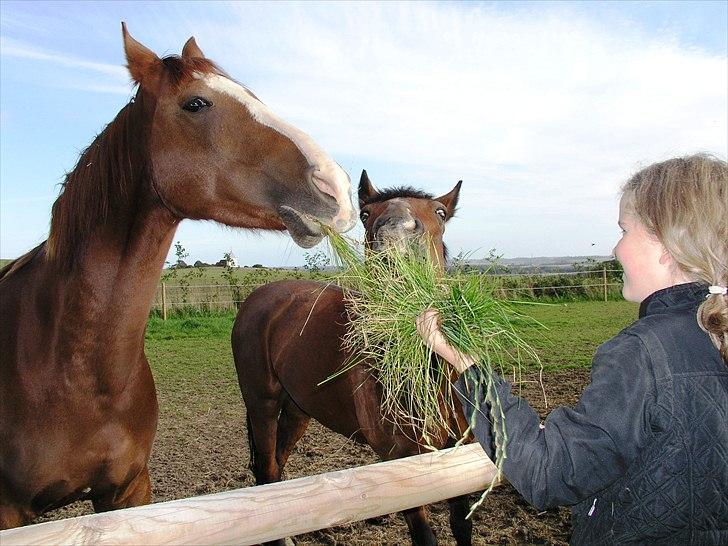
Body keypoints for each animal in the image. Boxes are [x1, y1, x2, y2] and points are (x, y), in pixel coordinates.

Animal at [233, 171, 472, 544]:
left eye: (441, 213)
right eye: (365, 214)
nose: (396, 239)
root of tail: (261, 297)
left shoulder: (458, 459)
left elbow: (462, 526)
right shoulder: (400, 462)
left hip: (297, 410)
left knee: (277, 466)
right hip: (262, 406)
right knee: (267, 470)